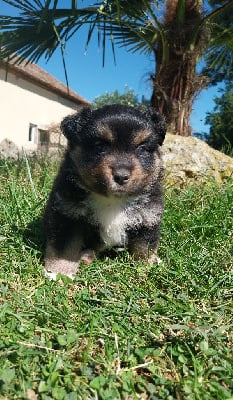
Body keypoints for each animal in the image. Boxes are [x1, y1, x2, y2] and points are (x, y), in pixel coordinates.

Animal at [42, 104, 167, 280]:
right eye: (100, 146)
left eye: (142, 148)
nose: (121, 176)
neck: (112, 200)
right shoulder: (67, 215)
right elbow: (64, 247)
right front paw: (59, 273)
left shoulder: (148, 218)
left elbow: (144, 247)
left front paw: (147, 267)